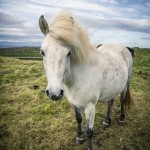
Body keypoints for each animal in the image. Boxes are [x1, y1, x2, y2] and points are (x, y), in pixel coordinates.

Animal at [39, 10, 134, 150]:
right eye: (42, 52)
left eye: (69, 53)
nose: (54, 94)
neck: (79, 78)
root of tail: (124, 48)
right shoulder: (74, 103)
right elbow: (78, 119)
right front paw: (79, 136)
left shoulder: (90, 107)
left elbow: (90, 131)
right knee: (110, 102)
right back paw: (106, 121)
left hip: (125, 84)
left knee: (122, 100)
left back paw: (122, 118)